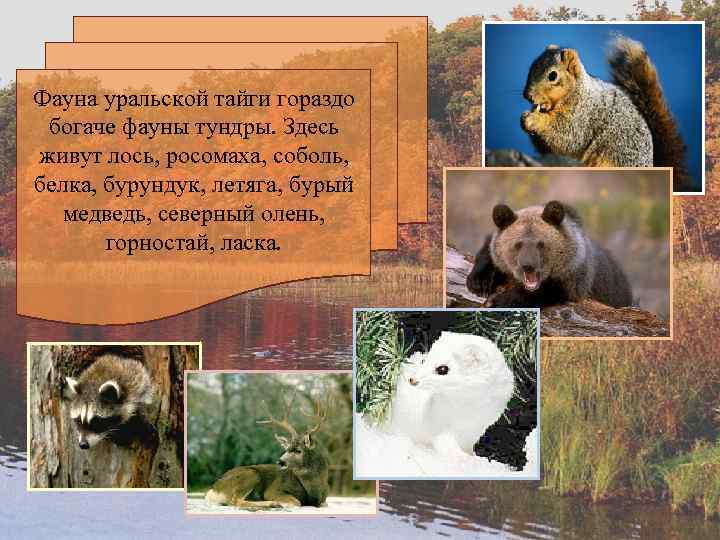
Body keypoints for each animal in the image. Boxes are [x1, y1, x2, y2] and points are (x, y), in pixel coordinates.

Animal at [520, 37, 690, 191]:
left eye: (553, 76)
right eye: (531, 68)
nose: (527, 96)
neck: (576, 91)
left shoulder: (583, 115)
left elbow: (567, 136)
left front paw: (534, 119)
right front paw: (524, 119)